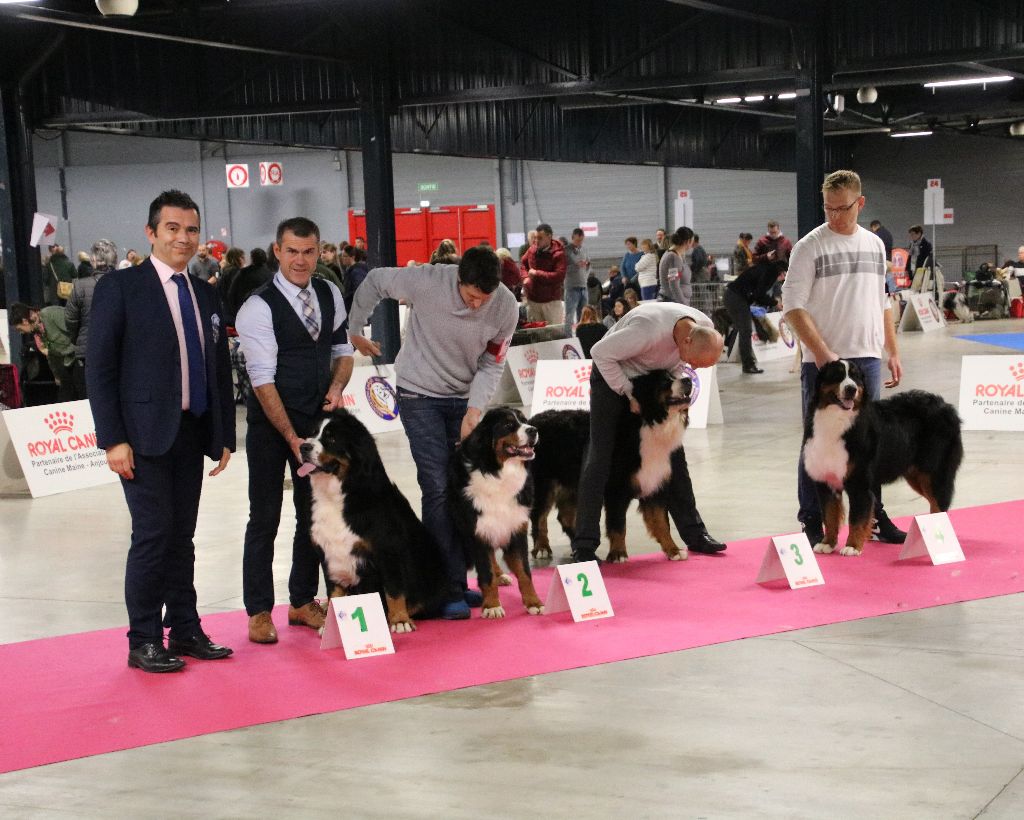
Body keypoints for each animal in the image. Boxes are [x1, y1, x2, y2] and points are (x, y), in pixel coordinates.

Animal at [301, 405, 450, 630]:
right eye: (311, 433)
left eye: (332, 438)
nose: (303, 447)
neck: (338, 496)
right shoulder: (329, 555)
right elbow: (334, 593)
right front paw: (330, 626)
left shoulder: (388, 549)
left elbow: (394, 590)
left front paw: (399, 621)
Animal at [448, 405, 544, 618]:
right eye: (508, 425)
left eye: (525, 421)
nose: (533, 430)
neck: (500, 474)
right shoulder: (479, 531)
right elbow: (486, 573)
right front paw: (492, 606)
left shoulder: (516, 528)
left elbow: (525, 572)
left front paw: (533, 602)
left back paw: (502, 576)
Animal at [528, 368, 688, 565]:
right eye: (664, 381)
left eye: (674, 376)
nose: (689, 381)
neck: (646, 424)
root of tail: (533, 421)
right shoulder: (615, 489)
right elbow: (618, 525)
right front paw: (618, 554)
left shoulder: (654, 485)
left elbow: (661, 523)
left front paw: (673, 550)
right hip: (544, 484)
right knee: (539, 516)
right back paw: (542, 547)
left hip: (573, 485)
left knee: (565, 515)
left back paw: (577, 546)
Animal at [802, 360, 962, 556]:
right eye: (837, 375)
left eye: (855, 377)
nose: (851, 389)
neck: (835, 420)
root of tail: (945, 406)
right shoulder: (826, 481)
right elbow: (829, 516)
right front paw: (827, 543)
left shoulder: (859, 483)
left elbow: (856, 518)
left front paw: (852, 546)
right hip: (918, 476)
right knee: (935, 503)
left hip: (934, 472)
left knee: (939, 505)